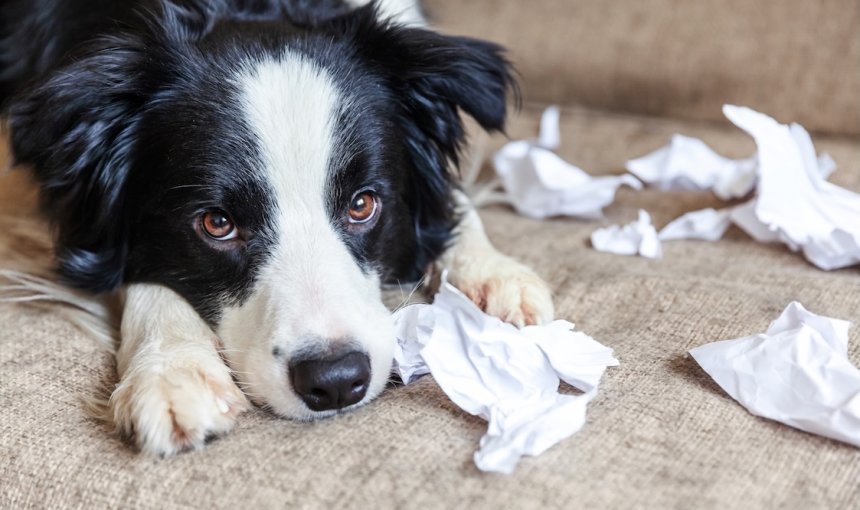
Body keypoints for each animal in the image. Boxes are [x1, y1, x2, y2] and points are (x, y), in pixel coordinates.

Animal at [0, 0, 556, 456]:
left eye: (362, 205)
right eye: (217, 223)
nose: (336, 381)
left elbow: (453, 201)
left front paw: (494, 276)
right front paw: (171, 372)